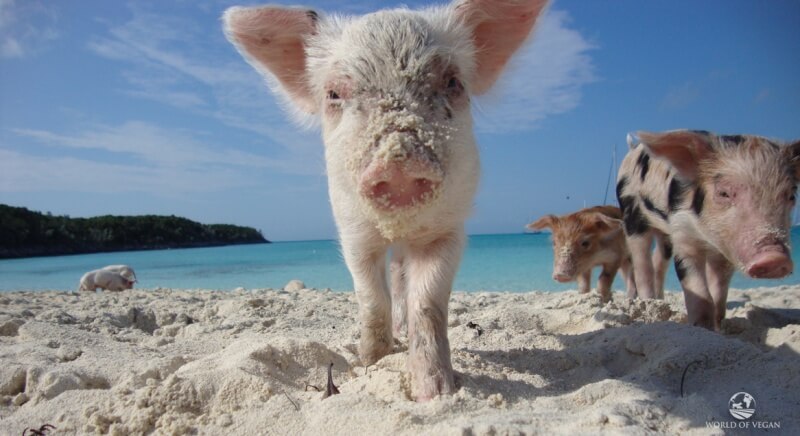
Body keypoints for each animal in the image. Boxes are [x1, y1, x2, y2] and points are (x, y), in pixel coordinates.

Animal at [223, 0, 552, 402]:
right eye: (333, 94)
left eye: (452, 82)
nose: (399, 161)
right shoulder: (353, 232)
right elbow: (370, 297)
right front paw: (370, 361)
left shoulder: (447, 231)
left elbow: (428, 302)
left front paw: (435, 392)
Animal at [620, 129, 800, 330]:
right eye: (724, 193)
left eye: (791, 196)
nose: (774, 258)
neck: (708, 238)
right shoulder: (682, 232)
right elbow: (698, 290)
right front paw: (701, 327)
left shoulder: (725, 254)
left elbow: (719, 290)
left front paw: (718, 327)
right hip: (631, 213)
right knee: (641, 261)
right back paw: (648, 303)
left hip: (664, 234)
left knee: (658, 259)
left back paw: (659, 302)